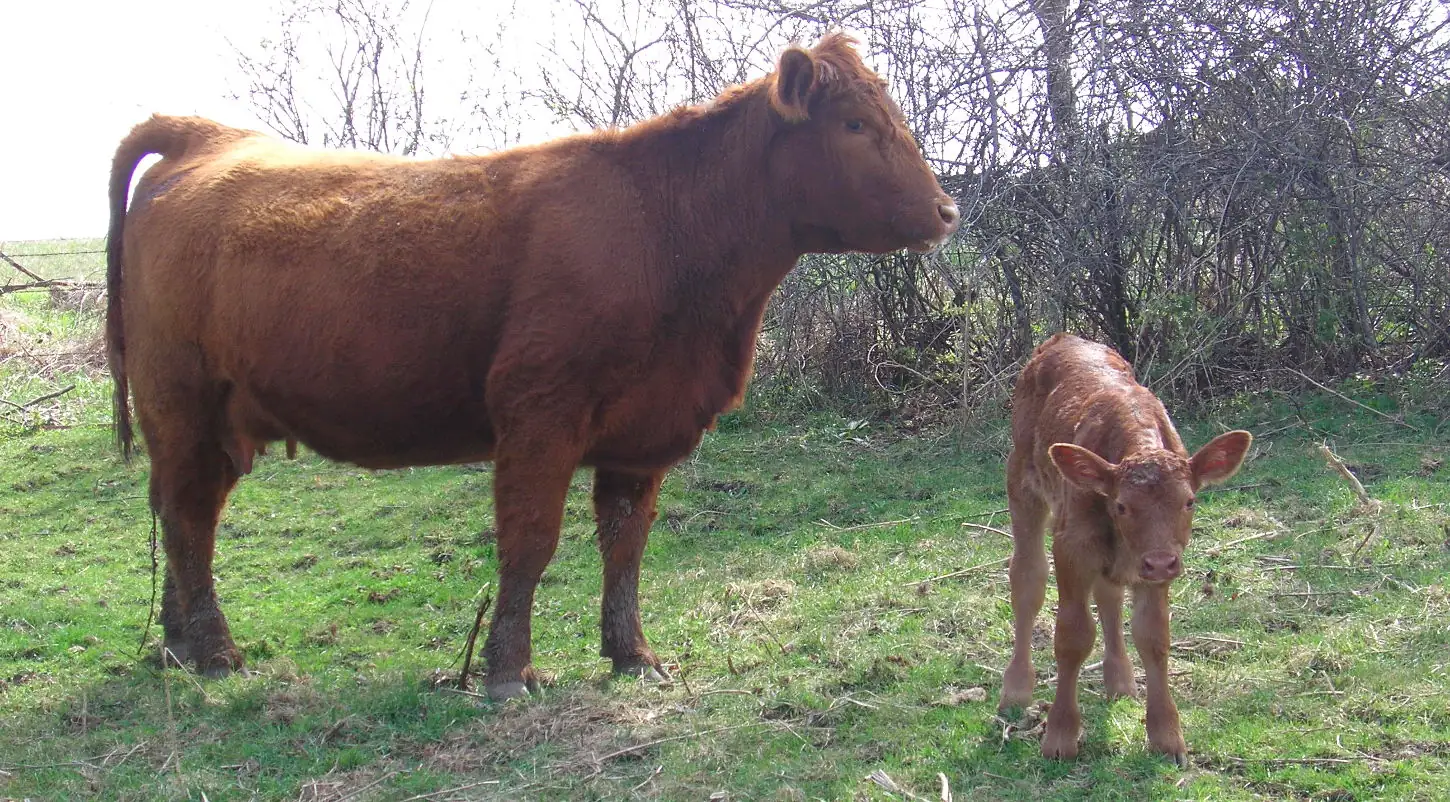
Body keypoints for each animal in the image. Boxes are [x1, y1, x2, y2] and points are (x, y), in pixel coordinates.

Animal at [105, 34, 960, 700]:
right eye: (854, 123)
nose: (947, 211)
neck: (668, 228)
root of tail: (210, 135)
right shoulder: (540, 413)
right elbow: (531, 541)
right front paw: (507, 672)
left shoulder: (642, 431)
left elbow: (626, 543)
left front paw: (633, 655)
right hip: (181, 399)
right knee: (188, 516)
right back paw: (216, 652)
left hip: (206, 419)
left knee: (179, 510)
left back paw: (177, 645)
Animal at [998, 333, 1251, 765]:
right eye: (1121, 505)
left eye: (1189, 501)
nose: (1161, 563)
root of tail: (1063, 338)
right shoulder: (1072, 547)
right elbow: (1072, 636)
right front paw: (1060, 736)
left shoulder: (1155, 562)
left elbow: (1154, 637)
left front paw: (1166, 735)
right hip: (1023, 486)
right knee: (1027, 580)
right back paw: (1016, 687)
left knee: (1109, 594)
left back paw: (1119, 681)